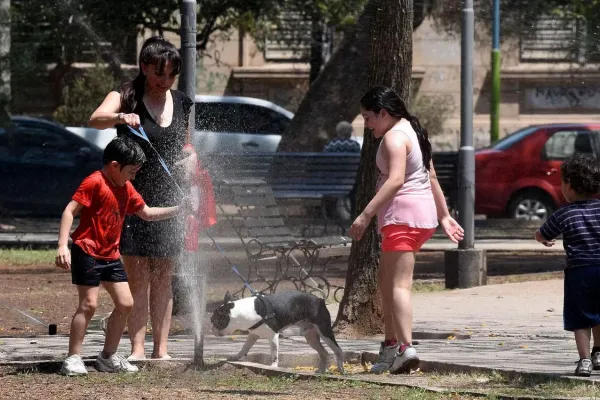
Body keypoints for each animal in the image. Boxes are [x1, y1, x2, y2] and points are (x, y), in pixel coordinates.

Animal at [210, 290, 342, 372]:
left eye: (214, 321)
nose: (211, 329)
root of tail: (319, 299)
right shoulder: (253, 335)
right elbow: (245, 348)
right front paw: (236, 357)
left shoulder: (273, 335)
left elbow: (274, 352)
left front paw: (273, 365)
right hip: (311, 337)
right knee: (324, 352)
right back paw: (321, 371)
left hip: (324, 331)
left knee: (337, 350)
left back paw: (341, 370)